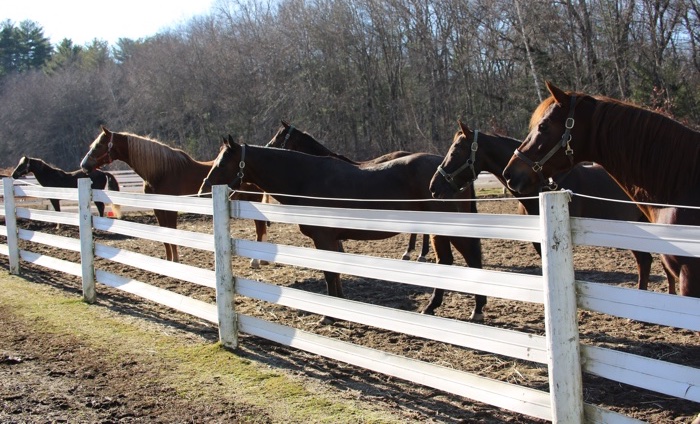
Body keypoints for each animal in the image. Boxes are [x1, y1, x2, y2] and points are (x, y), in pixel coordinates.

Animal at [79, 126, 270, 264]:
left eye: (99, 145)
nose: (84, 165)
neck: (161, 172)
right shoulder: (158, 209)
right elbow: (164, 235)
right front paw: (169, 260)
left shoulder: (171, 209)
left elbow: (171, 232)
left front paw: (176, 260)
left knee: (259, 227)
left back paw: (256, 261)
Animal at [197, 137, 482, 322]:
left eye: (223, 162)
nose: (203, 188)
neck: (307, 178)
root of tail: (446, 172)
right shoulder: (333, 240)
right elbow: (335, 273)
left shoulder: (323, 238)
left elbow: (329, 273)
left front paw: (329, 316)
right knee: (446, 262)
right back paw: (432, 307)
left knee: (473, 261)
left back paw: (477, 310)